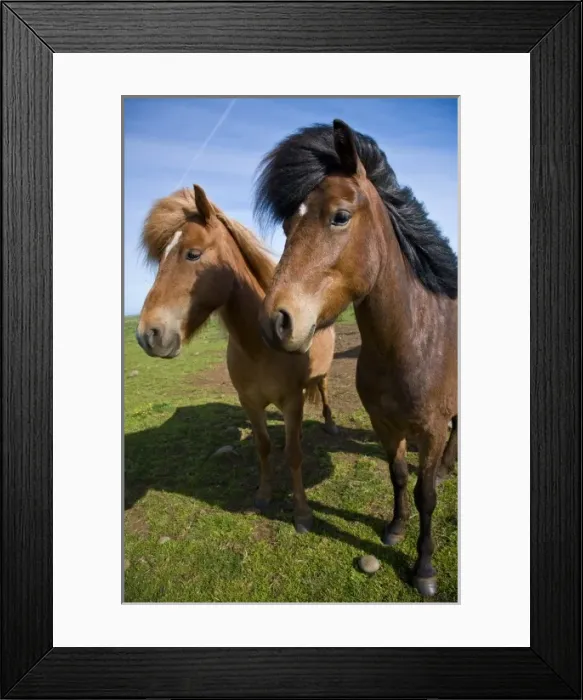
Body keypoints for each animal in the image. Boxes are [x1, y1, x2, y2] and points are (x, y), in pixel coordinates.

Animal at [135, 185, 338, 533]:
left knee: (323, 391)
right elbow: (263, 446)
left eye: (192, 254)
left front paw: (301, 513)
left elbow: (294, 455)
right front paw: (264, 495)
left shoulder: (291, 401)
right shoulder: (250, 403)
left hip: (321, 376)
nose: (147, 335)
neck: (261, 348)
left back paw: (329, 423)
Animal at [254, 120, 458, 597]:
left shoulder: (432, 429)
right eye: (288, 224)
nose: (275, 321)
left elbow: (426, 495)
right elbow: (398, 476)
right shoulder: (383, 424)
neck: (411, 343)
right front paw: (395, 529)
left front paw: (424, 569)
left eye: (340, 216)